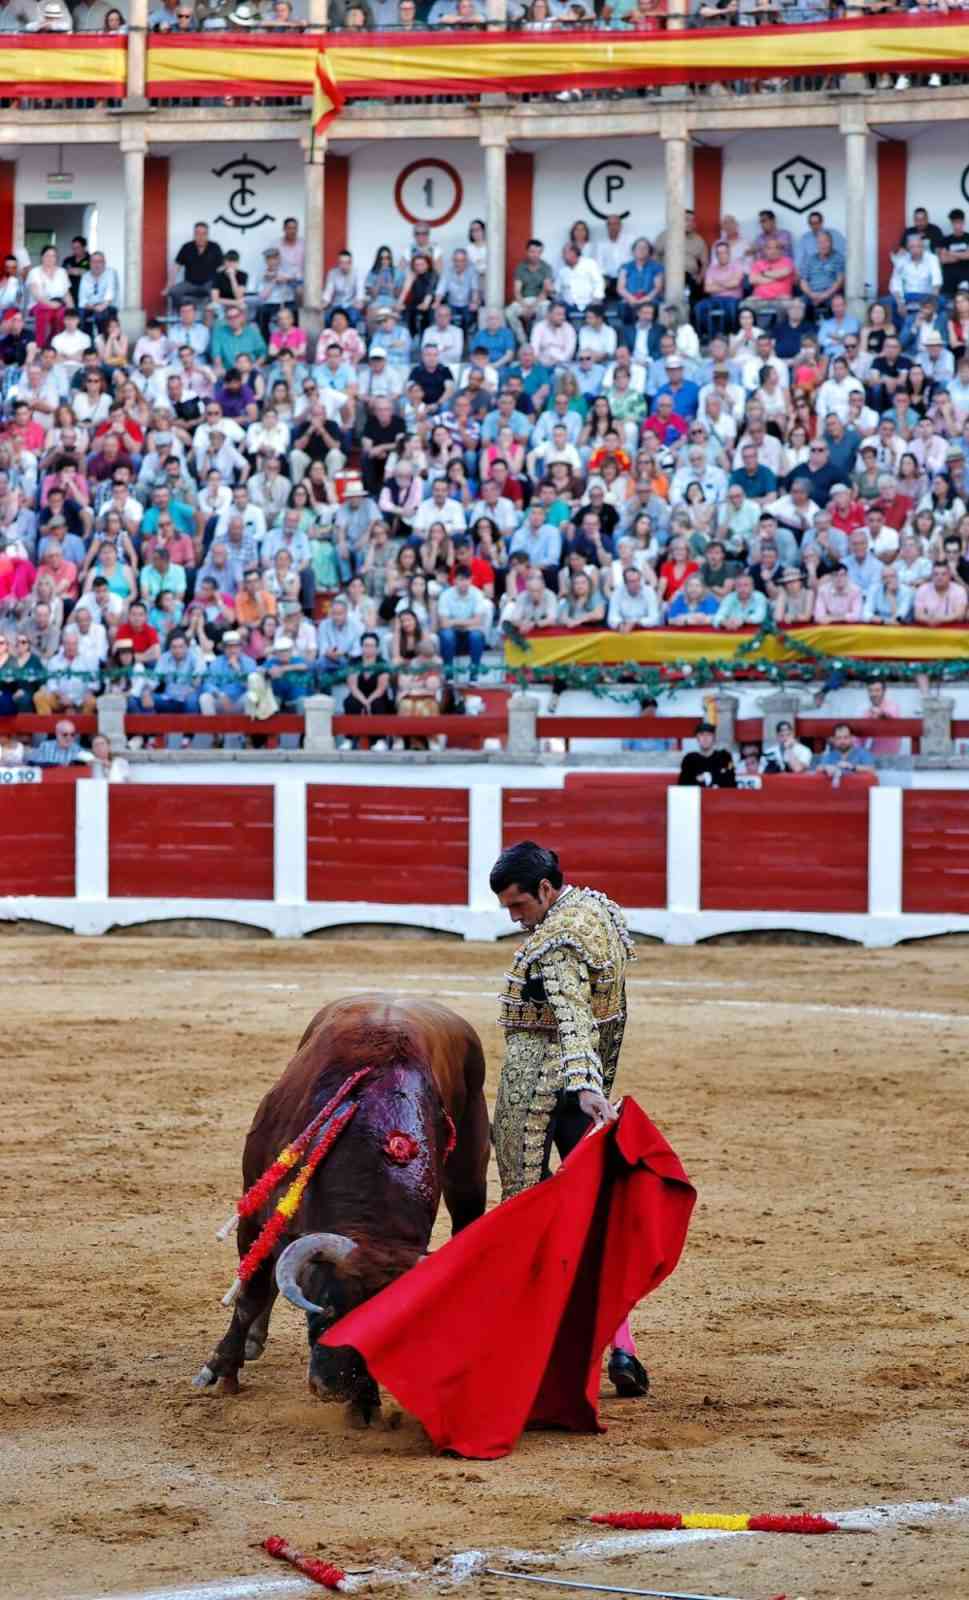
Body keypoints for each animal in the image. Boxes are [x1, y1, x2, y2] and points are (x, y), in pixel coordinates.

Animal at [193, 994, 489, 1420]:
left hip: (470, 1175)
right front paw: (223, 1370)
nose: (335, 1387)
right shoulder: (257, 1210)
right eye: (327, 1307)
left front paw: (365, 1404)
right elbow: (250, 1292)